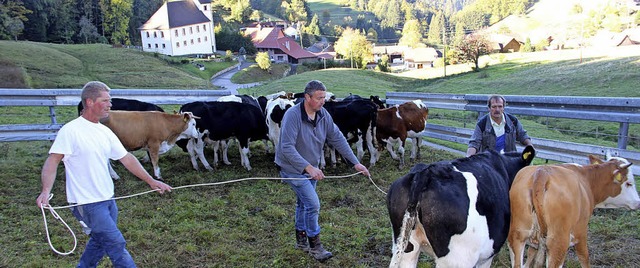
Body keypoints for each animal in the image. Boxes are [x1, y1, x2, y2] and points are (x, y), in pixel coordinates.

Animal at [508, 155, 636, 268]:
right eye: (629, 183)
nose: (638, 202)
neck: (586, 178)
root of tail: (542, 172)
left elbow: (531, 255)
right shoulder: (581, 232)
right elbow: (585, 258)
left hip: (517, 235)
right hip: (558, 245)